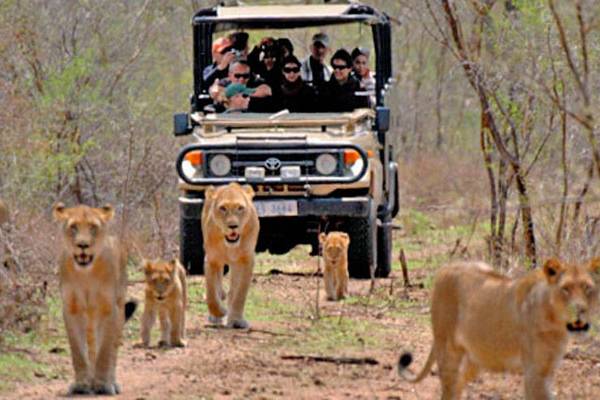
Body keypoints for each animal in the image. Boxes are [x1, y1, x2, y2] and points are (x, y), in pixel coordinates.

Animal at [52, 205, 136, 396]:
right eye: (73, 227)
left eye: (93, 228)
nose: (83, 245)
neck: (86, 274)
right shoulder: (71, 309)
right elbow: (78, 351)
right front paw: (82, 384)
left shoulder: (109, 308)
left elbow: (105, 350)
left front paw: (103, 385)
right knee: (91, 347)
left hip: (119, 308)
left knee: (112, 349)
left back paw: (111, 382)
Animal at [202, 183, 258, 330]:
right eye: (223, 208)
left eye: (240, 208)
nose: (233, 226)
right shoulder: (211, 260)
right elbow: (211, 293)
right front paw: (220, 312)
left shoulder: (246, 260)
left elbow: (240, 293)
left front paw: (236, 320)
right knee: (218, 289)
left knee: (232, 291)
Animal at [398, 258, 600, 398]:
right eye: (565, 289)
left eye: (587, 288)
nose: (580, 310)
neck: (556, 325)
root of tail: (446, 267)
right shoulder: (534, 372)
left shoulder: (547, 369)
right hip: (448, 349)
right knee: (448, 389)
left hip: (475, 359)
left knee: (457, 387)